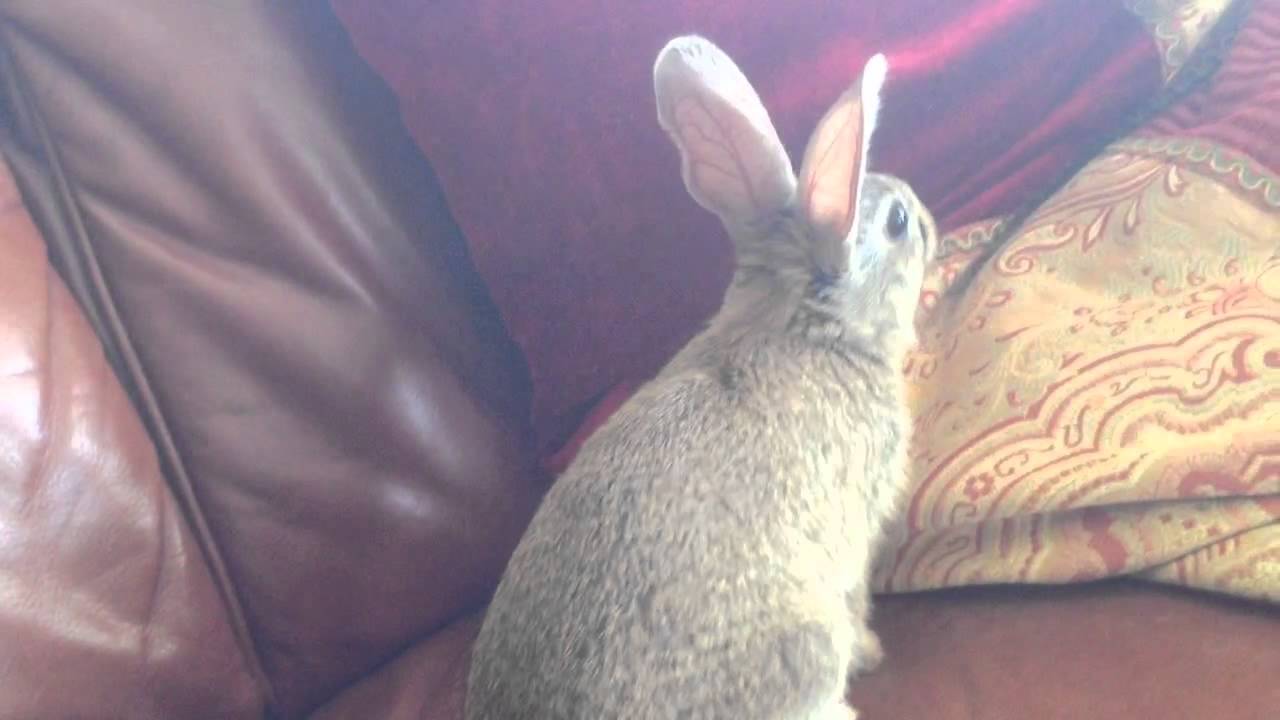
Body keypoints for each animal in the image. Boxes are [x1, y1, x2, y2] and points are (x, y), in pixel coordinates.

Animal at [465, 34, 936, 720]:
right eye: (898, 223)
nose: (929, 219)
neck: (805, 327)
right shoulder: (855, 540)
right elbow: (857, 604)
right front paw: (874, 653)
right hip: (806, 648)